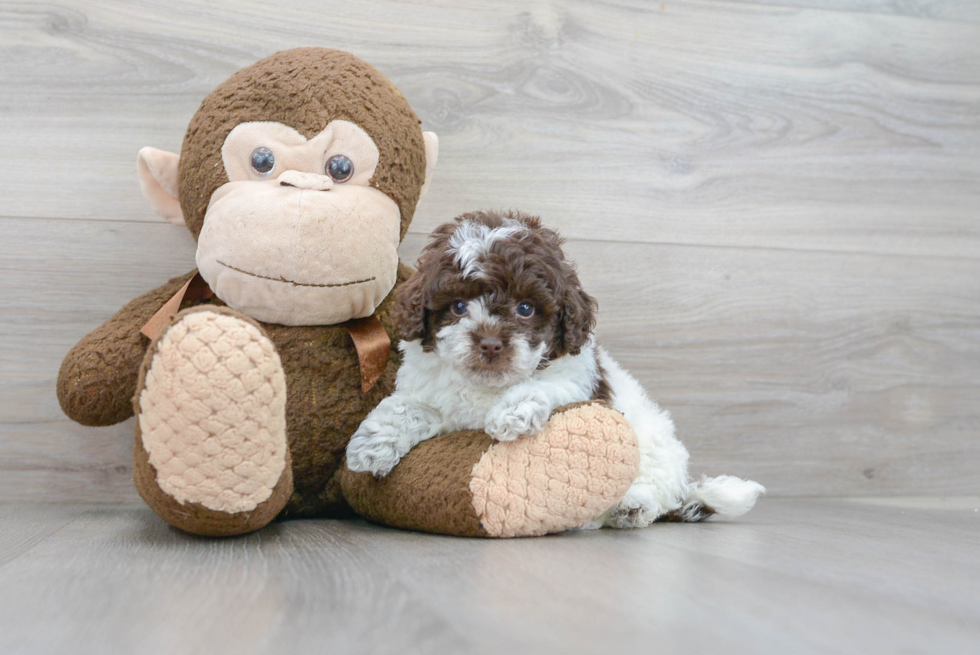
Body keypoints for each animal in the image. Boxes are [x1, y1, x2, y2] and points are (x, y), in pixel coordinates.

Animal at [344, 213, 764, 532]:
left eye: (526, 308)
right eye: (459, 305)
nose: (491, 344)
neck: (488, 387)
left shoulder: (580, 383)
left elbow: (546, 386)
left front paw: (512, 412)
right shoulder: (431, 391)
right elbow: (410, 406)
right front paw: (372, 444)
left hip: (657, 447)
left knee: (657, 488)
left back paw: (632, 505)